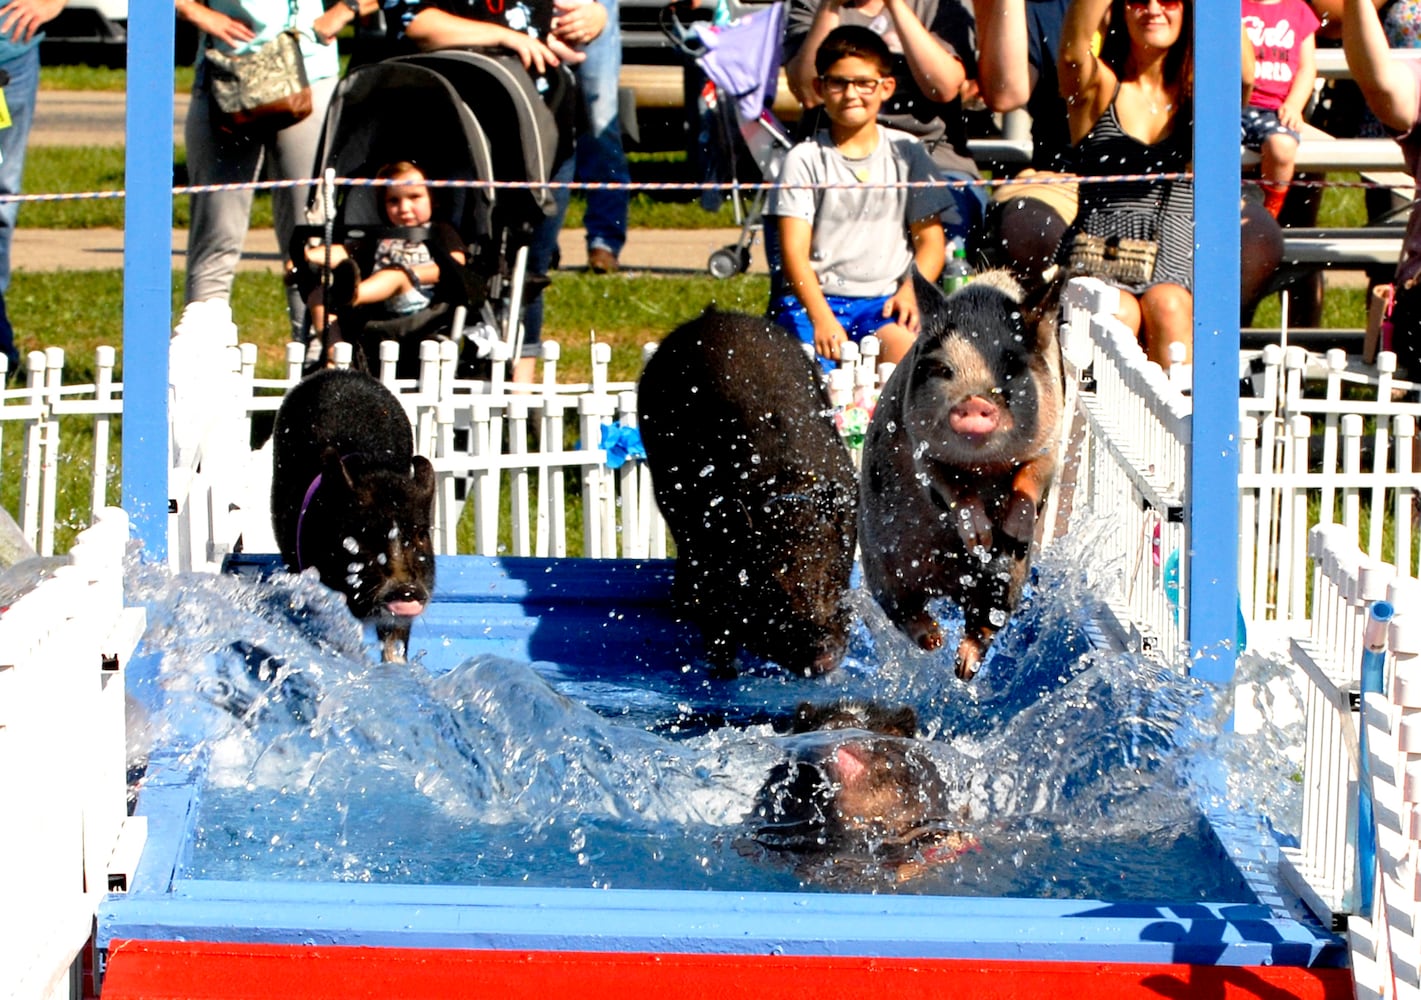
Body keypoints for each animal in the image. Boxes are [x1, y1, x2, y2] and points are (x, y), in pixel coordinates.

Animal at [852, 271, 1068, 678]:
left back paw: (963, 668)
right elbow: (951, 488)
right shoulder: (921, 449)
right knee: (906, 614)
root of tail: (947, 588)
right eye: (943, 370)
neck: (982, 466)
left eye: (1011, 366)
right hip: (882, 573)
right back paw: (935, 640)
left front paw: (1011, 534)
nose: (973, 402)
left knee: (983, 625)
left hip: (1005, 584)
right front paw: (980, 538)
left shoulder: (1050, 443)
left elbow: (1031, 478)